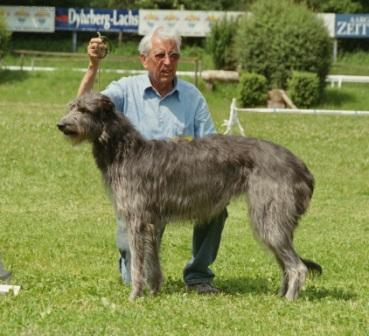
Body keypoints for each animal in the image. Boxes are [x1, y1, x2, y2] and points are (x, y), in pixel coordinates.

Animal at [56, 92, 320, 302]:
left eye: (84, 109)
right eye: (71, 106)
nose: (61, 124)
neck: (127, 151)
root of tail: (302, 168)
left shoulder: (137, 220)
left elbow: (138, 265)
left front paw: (134, 296)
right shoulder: (151, 223)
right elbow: (152, 261)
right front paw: (154, 291)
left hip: (269, 217)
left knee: (297, 267)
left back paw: (289, 300)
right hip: (274, 220)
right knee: (286, 264)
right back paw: (281, 295)